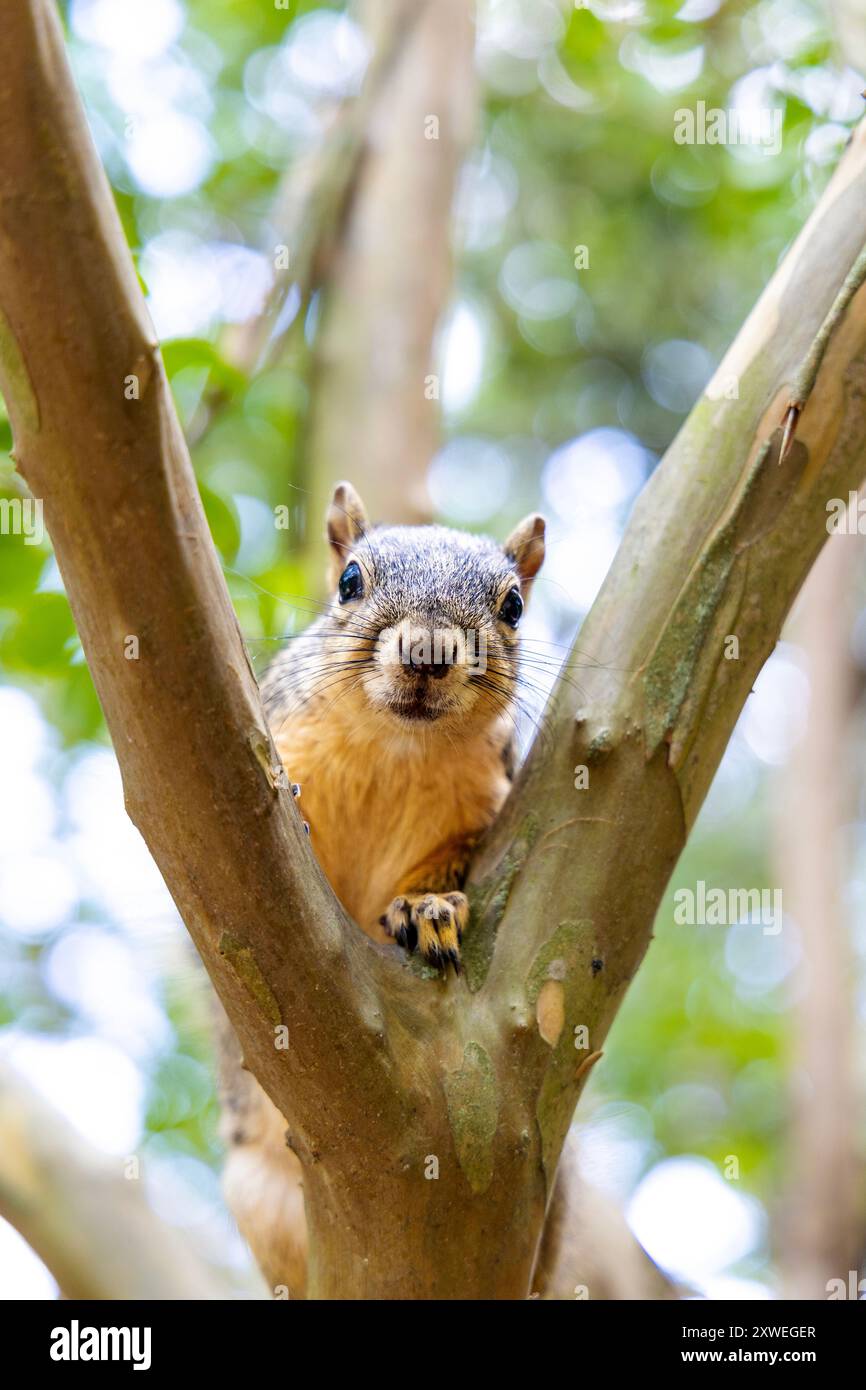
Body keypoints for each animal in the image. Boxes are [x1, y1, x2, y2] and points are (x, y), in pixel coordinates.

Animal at [219, 481, 546, 1296]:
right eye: (349, 581)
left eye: (514, 605)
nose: (428, 653)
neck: (399, 748)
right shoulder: (284, 730)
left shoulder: (475, 814)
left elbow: (443, 873)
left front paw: (426, 909)